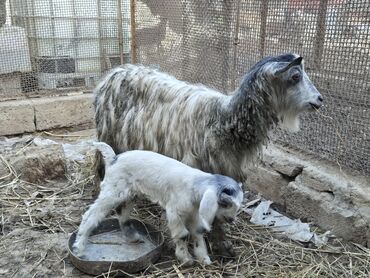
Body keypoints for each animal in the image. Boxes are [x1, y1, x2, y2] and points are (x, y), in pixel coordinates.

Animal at [73, 142, 244, 266]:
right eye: (226, 203)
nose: (231, 220)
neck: (195, 187)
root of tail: (113, 158)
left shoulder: (195, 214)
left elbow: (198, 234)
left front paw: (204, 258)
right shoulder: (175, 211)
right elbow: (183, 235)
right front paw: (185, 259)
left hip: (129, 193)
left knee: (122, 213)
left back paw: (133, 236)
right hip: (112, 190)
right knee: (91, 215)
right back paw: (79, 247)